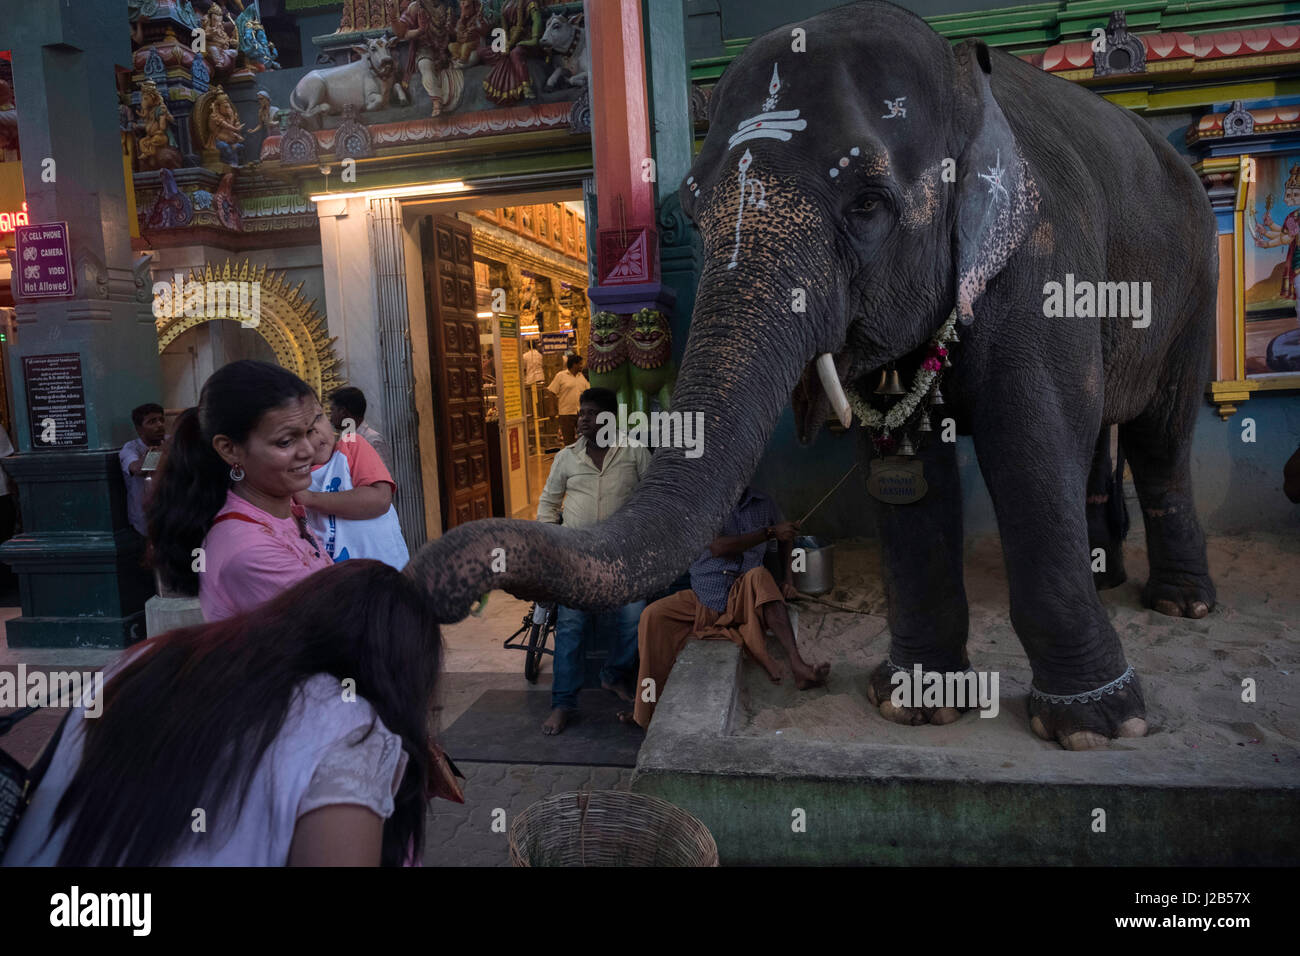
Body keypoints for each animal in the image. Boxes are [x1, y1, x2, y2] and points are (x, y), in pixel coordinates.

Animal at [405, 3, 1216, 754]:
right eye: (694, 213)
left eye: (868, 204)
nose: (432, 580)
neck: (962, 77)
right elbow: (906, 469)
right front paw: (913, 706)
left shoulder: (1046, 261)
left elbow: (1032, 445)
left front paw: (1096, 728)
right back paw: (1112, 578)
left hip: (1196, 279)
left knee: (1163, 435)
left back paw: (1183, 606)